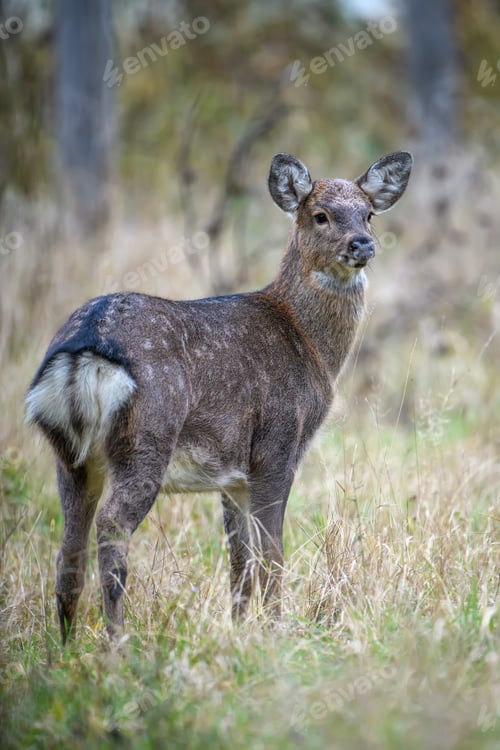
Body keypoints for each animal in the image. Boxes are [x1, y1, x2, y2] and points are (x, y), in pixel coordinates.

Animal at [26, 150, 412, 643]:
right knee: (111, 527)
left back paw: (66, 647)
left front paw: (241, 628)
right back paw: (118, 641)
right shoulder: (277, 447)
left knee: (68, 547)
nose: (362, 245)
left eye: (368, 213)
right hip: (148, 436)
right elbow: (271, 554)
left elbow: (239, 559)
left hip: (69, 453)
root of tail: (85, 347)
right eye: (320, 215)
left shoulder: (232, 474)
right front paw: (275, 630)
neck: (309, 344)